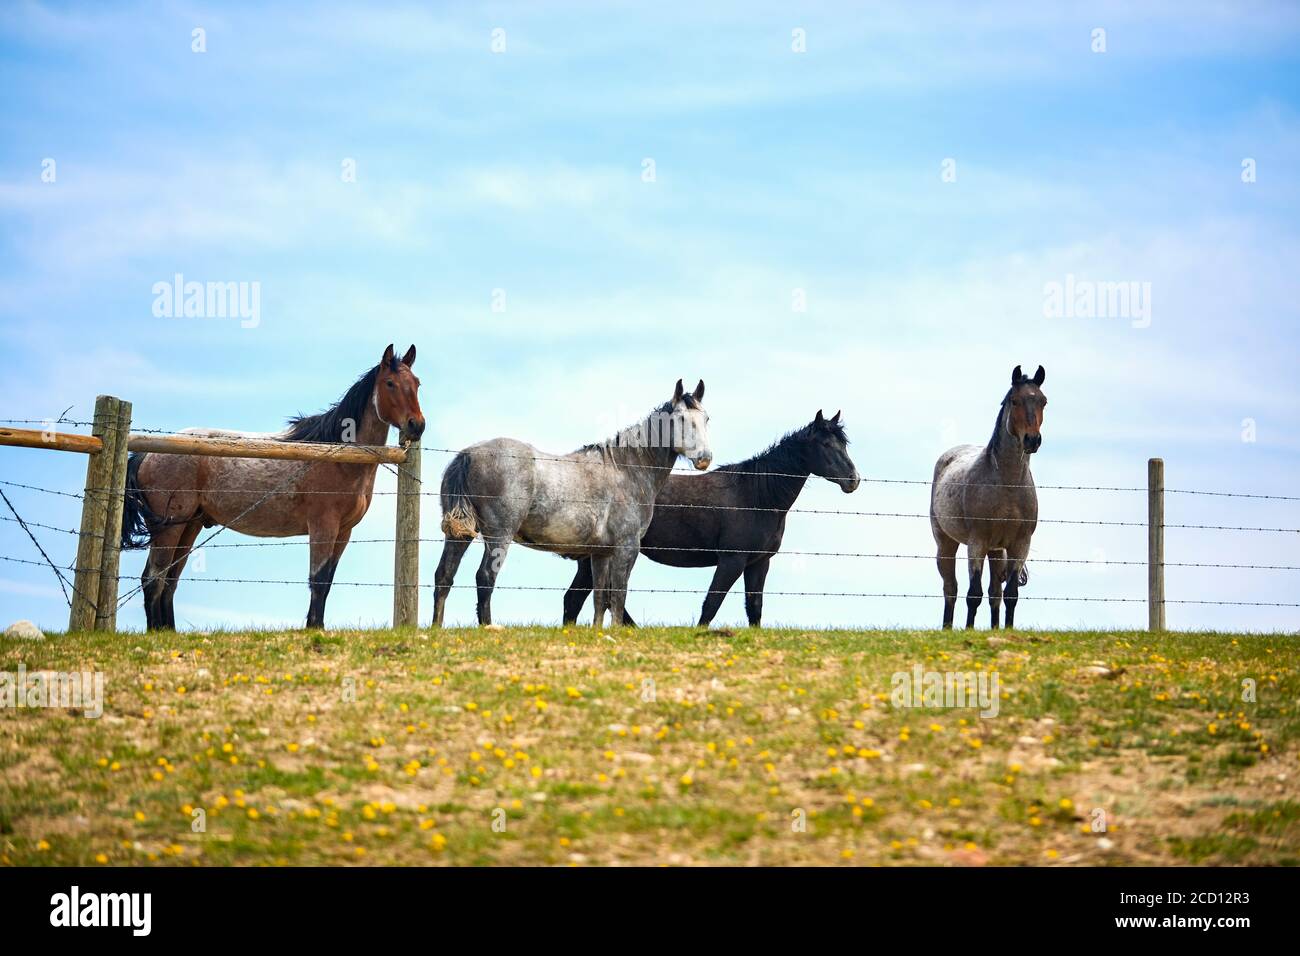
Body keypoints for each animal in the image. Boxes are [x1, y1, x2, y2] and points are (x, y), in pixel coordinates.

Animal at [120, 343, 423, 629]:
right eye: (390, 383)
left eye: (417, 383)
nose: (416, 425)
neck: (339, 456)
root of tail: (147, 455)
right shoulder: (323, 526)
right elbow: (318, 580)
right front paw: (313, 629)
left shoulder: (344, 531)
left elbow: (327, 582)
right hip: (170, 527)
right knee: (154, 579)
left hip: (190, 525)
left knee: (169, 581)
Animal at [434, 377, 712, 632]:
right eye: (680, 419)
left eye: (706, 418)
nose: (704, 458)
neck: (626, 469)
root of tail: (468, 454)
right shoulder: (627, 547)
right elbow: (618, 595)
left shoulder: (601, 553)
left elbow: (601, 598)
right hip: (499, 535)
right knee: (485, 577)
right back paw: (488, 627)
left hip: (459, 535)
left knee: (444, 575)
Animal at [561, 408, 857, 629]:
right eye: (825, 444)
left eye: (843, 443)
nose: (853, 480)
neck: (756, 496)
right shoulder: (731, 560)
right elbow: (711, 604)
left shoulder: (759, 563)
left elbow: (755, 608)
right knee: (579, 600)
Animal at [930, 364, 1050, 629]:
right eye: (1015, 401)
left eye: (1043, 401)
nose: (1032, 440)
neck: (1007, 484)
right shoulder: (977, 543)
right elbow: (973, 594)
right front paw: (968, 630)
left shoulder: (1020, 545)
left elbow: (1010, 595)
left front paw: (1006, 629)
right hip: (947, 544)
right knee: (950, 589)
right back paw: (947, 628)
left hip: (996, 551)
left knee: (995, 592)